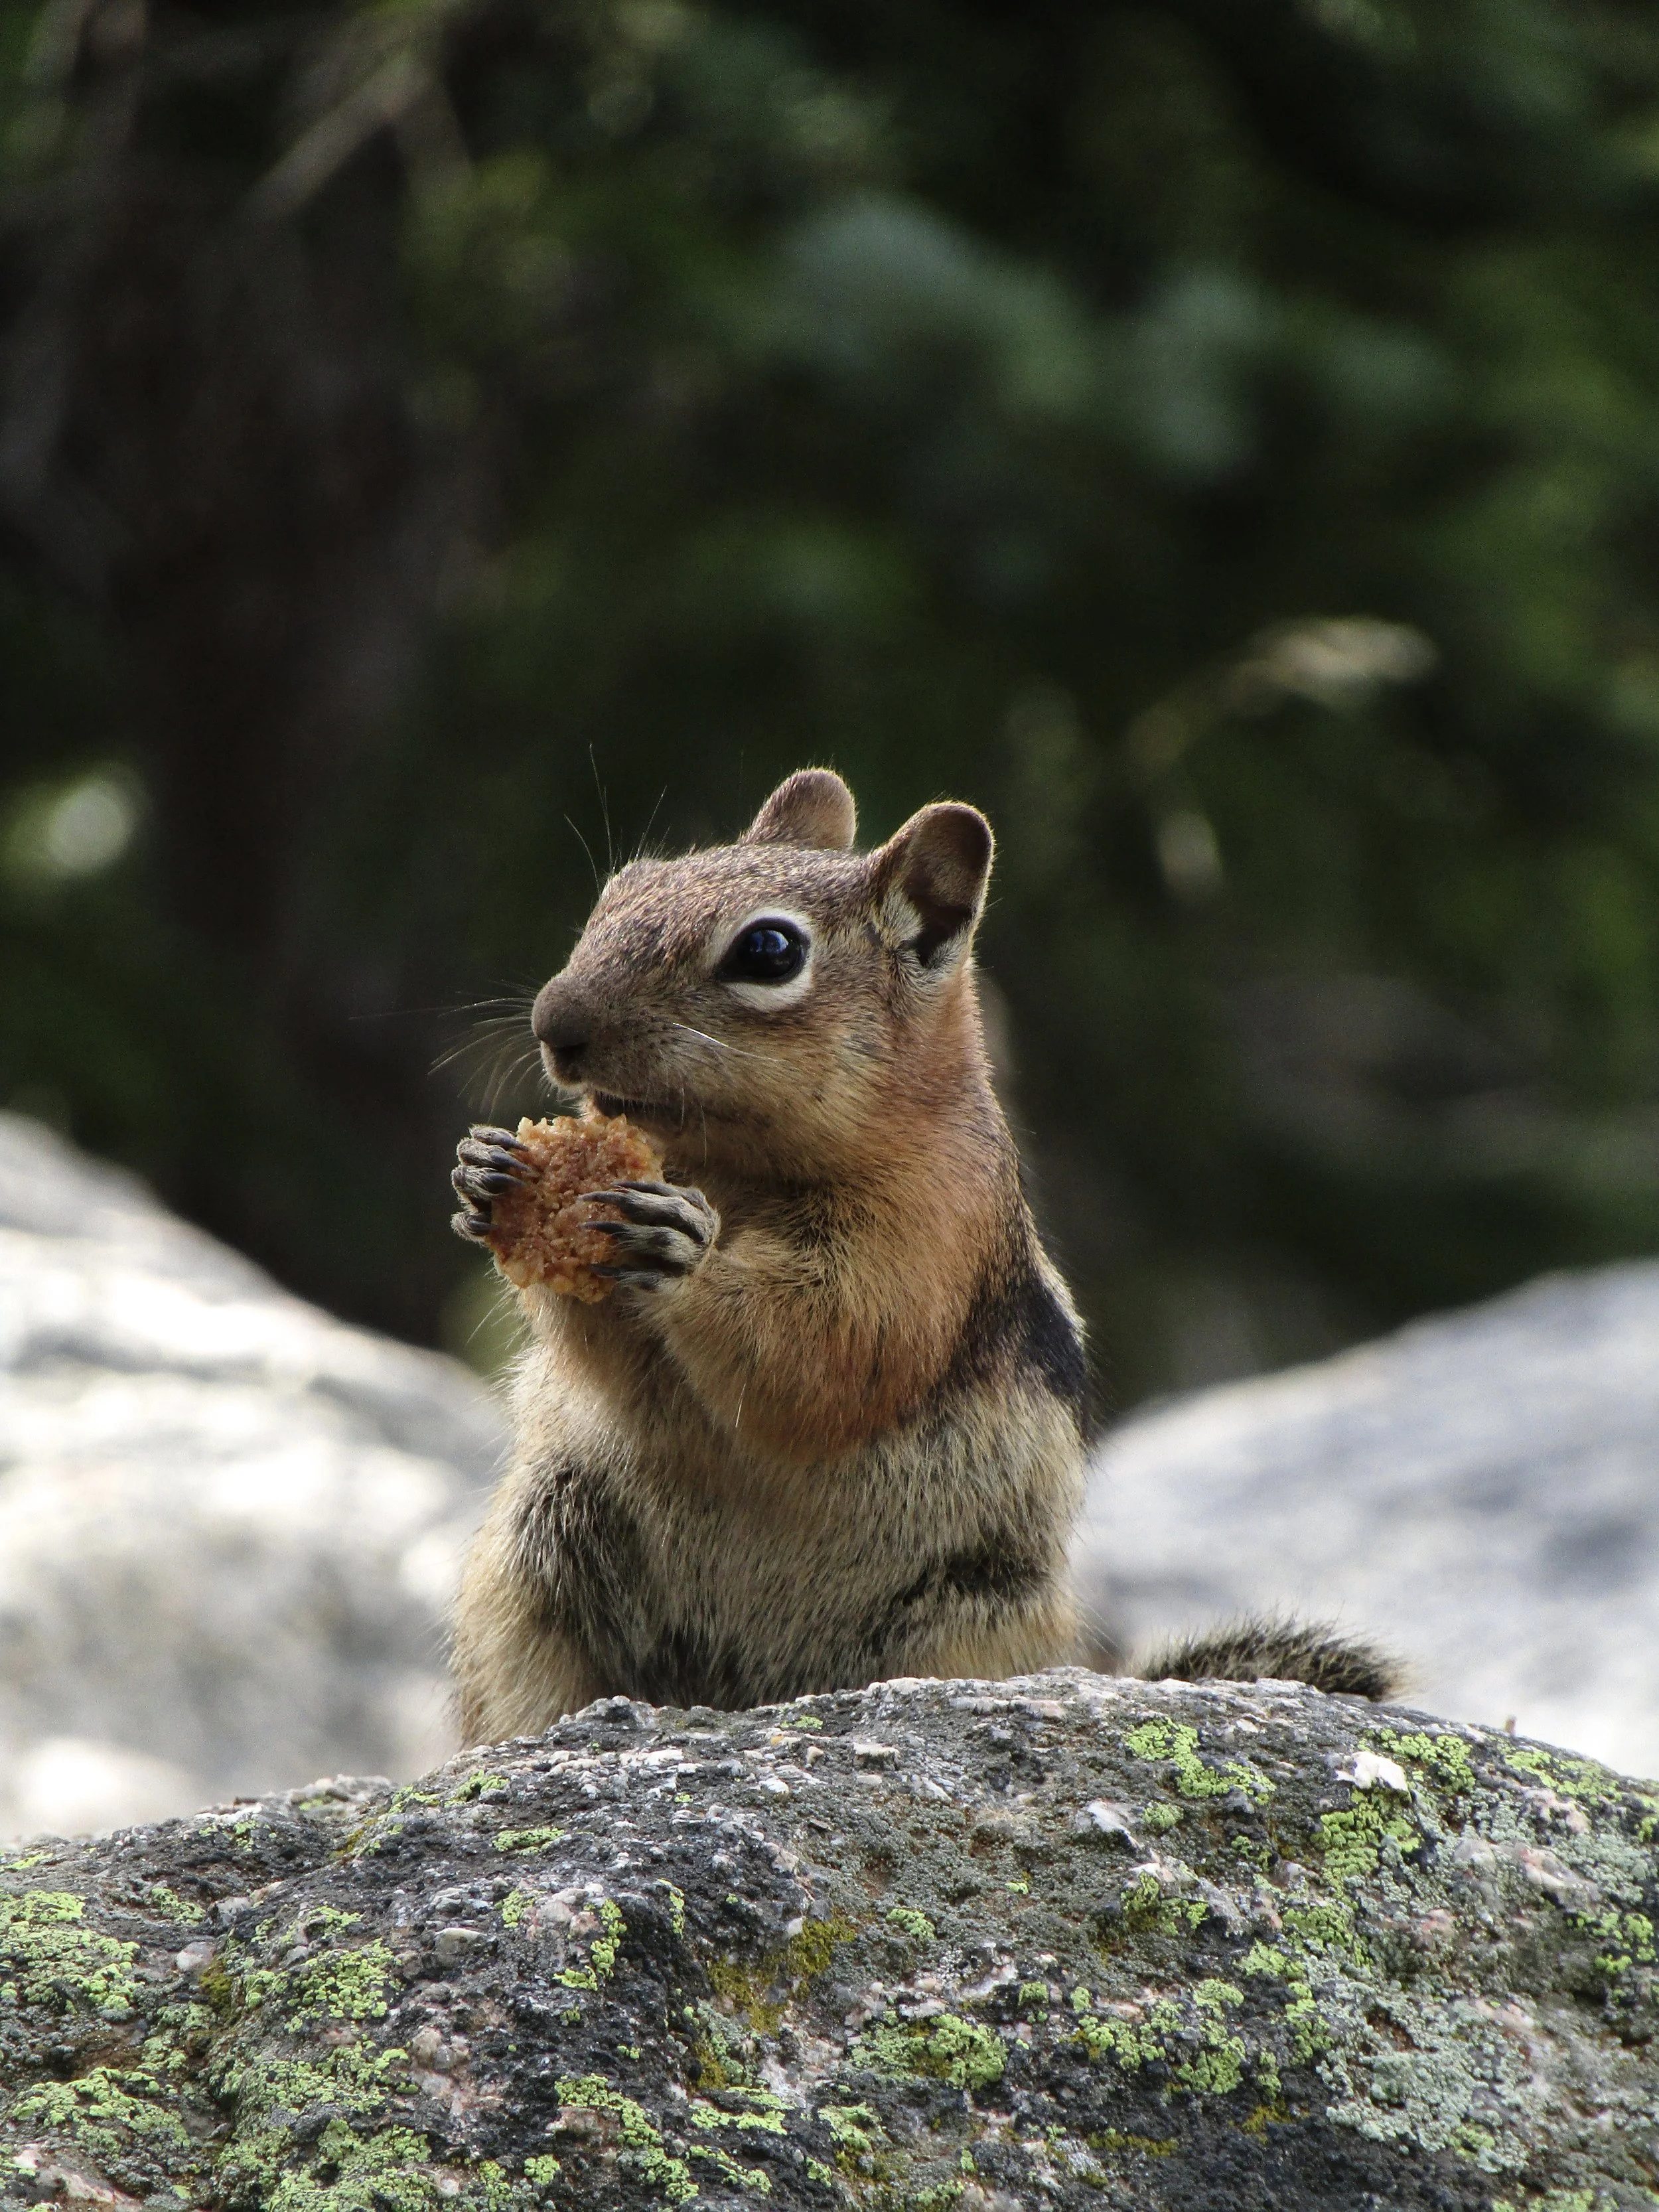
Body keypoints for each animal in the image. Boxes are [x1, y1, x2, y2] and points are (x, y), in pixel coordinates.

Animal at [448, 769, 1397, 1744]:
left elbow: (831, 1351)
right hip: (530, 1582)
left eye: (768, 950)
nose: (554, 1024)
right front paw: (489, 1174)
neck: (732, 1171)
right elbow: (610, 1369)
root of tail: (747, 1693)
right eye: (620, 889)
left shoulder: (926, 1235)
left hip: (965, 1619)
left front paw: (686, 1252)